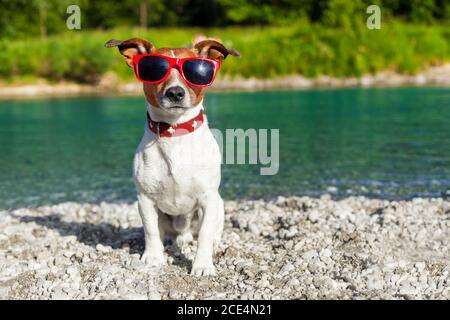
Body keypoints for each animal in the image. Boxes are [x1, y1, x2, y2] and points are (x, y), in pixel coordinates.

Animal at [105, 35, 239, 276]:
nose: (175, 93)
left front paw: (202, 264)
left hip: (219, 203)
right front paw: (153, 257)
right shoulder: (145, 200)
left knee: (211, 231)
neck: (174, 132)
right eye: (154, 69)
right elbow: (150, 231)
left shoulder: (208, 199)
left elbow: (205, 234)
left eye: (196, 73)